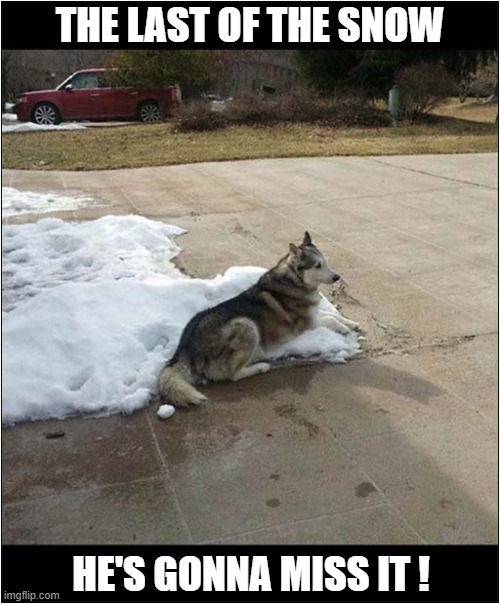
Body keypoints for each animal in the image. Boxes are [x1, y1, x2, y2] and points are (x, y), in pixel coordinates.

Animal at [158, 231, 358, 406]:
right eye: (317, 265)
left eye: (325, 262)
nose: (337, 277)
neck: (294, 280)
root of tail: (186, 347)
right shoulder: (307, 323)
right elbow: (331, 320)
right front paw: (344, 328)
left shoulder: (314, 314)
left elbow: (332, 315)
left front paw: (352, 323)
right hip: (247, 325)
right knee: (232, 375)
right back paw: (260, 367)